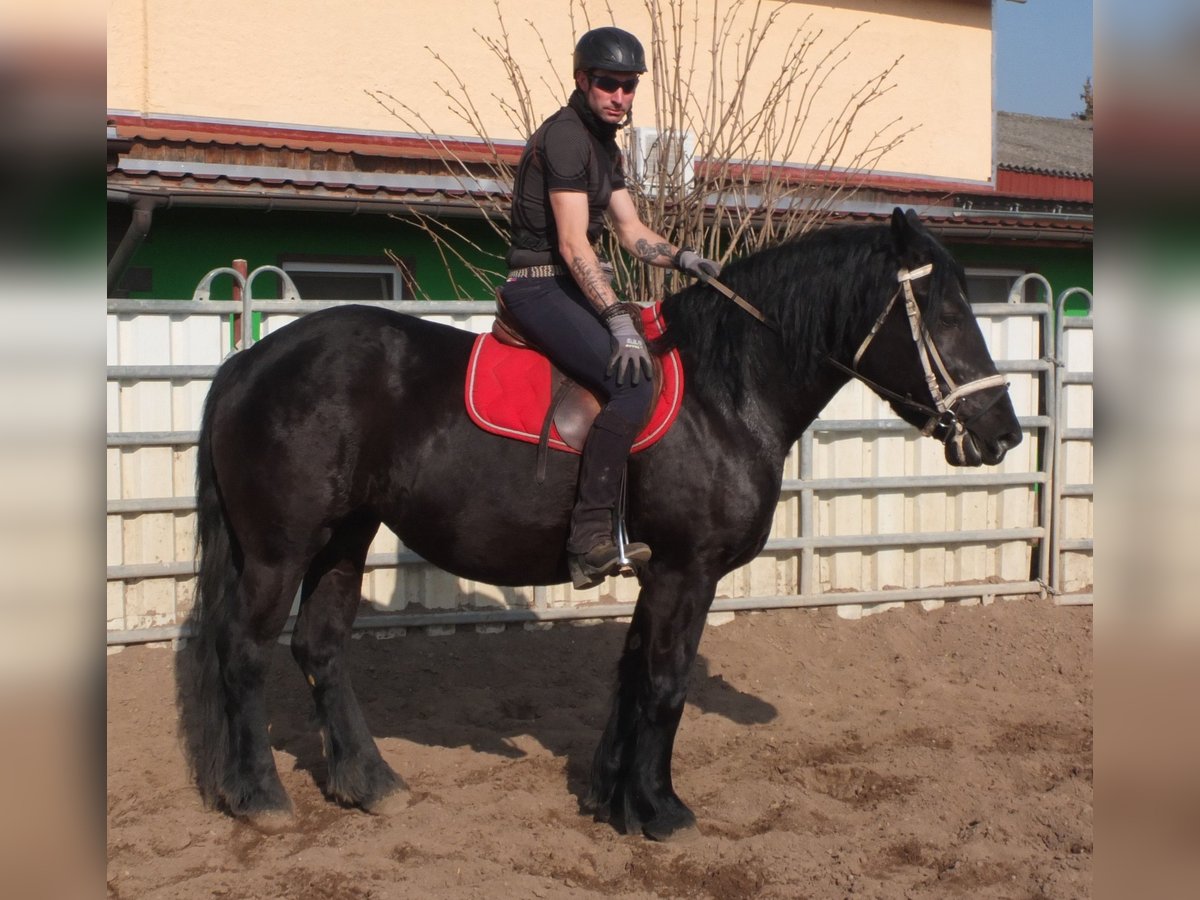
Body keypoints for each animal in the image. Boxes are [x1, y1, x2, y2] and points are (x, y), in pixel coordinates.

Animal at [180, 207, 1022, 844]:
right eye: (946, 312)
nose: (1003, 432)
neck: (725, 390)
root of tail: (249, 361)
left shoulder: (655, 572)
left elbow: (631, 675)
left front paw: (610, 797)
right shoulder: (687, 569)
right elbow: (666, 682)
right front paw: (659, 809)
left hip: (345, 538)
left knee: (320, 647)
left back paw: (369, 782)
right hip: (278, 549)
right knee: (245, 651)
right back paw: (260, 796)